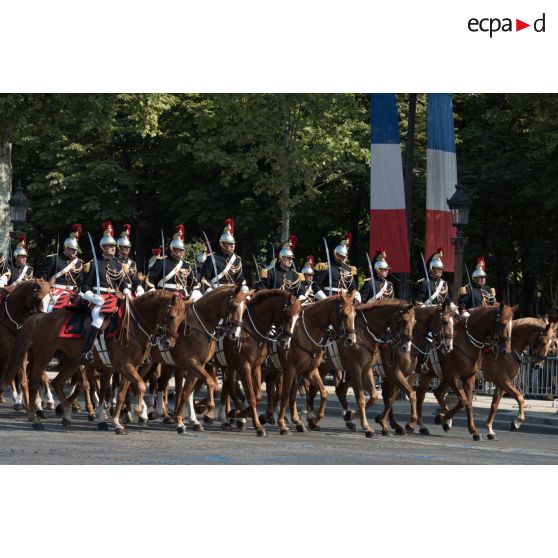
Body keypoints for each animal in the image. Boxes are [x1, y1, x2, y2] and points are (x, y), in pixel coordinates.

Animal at [1, 290, 186, 436]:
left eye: (182, 320)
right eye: (171, 316)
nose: (169, 343)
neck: (133, 325)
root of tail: (42, 316)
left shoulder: (130, 367)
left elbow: (121, 394)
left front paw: (117, 422)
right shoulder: (124, 366)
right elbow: (139, 386)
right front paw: (139, 411)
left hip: (72, 361)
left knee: (57, 382)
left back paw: (66, 415)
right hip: (42, 357)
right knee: (33, 384)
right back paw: (35, 418)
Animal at [276, 294, 358, 438]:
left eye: (355, 314)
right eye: (343, 314)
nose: (351, 340)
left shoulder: (310, 369)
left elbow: (324, 392)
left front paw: (314, 420)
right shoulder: (290, 369)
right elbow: (286, 395)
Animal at [418, 302, 520, 442]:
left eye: (512, 324)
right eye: (503, 323)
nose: (506, 351)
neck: (466, 341)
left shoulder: (469, 377)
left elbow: (470, 403)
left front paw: (474, 431)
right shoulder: (454, 377)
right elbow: (463, 401)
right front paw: (440, 418)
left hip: (432, 375)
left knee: (435, 393)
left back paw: (444, 423)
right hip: (427, 374)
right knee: (420, 396)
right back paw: (422, 425)